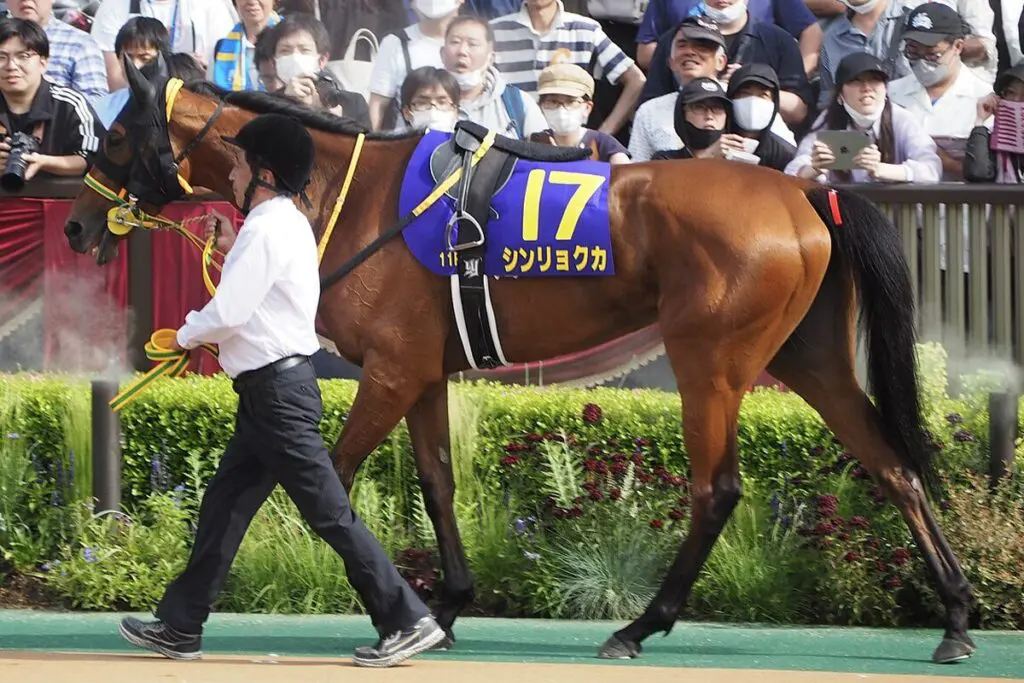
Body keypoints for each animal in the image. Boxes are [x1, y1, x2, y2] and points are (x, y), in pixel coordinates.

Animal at [62, 56, 976, 664]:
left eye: (117, 131)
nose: (75, 223)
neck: (352, 196)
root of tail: (804, 191)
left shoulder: (389, 372)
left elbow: (327, 478)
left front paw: (381, 611)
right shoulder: (421, 372)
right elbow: (434, 481)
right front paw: (447, 606)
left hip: (710, 361)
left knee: (716, 489)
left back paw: (640, 624)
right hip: (810, 356)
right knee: (893, 466)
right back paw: (958, 617)